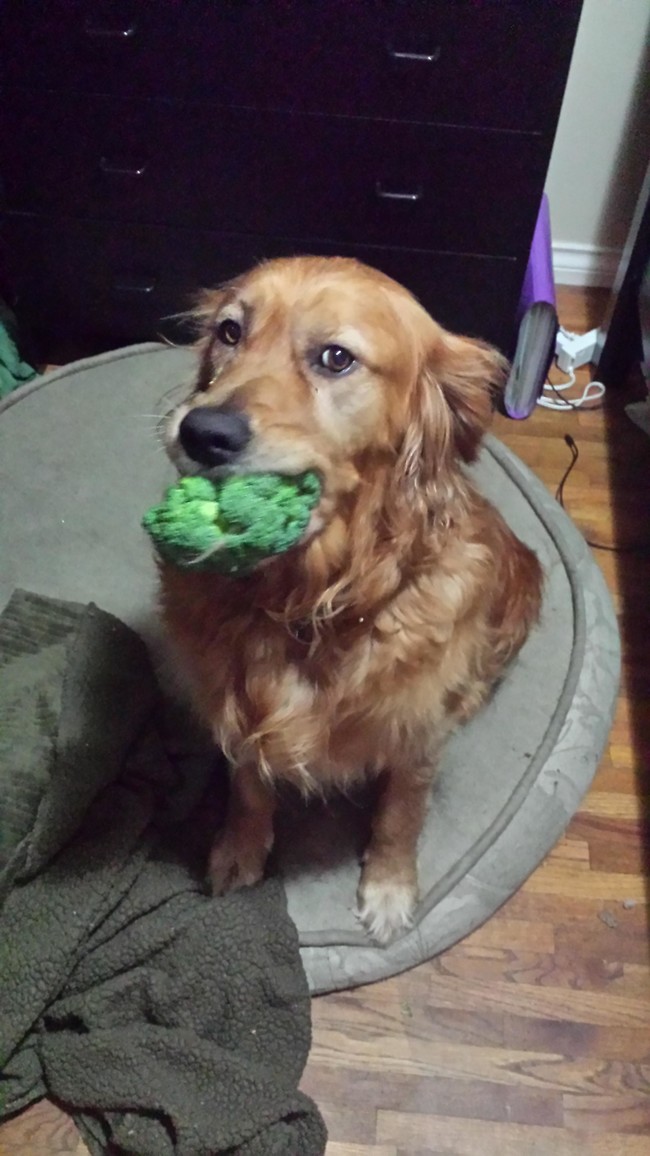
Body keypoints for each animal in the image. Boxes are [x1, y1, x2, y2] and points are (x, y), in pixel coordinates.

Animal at [158, 257, 541, 943]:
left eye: (336, 358)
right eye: (230, 332)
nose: (202, 431)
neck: (306, 602)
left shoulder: (418, 730)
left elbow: (401, 812)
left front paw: (389, 888)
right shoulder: (240, 707)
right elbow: (248, 785)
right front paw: (239, 850)